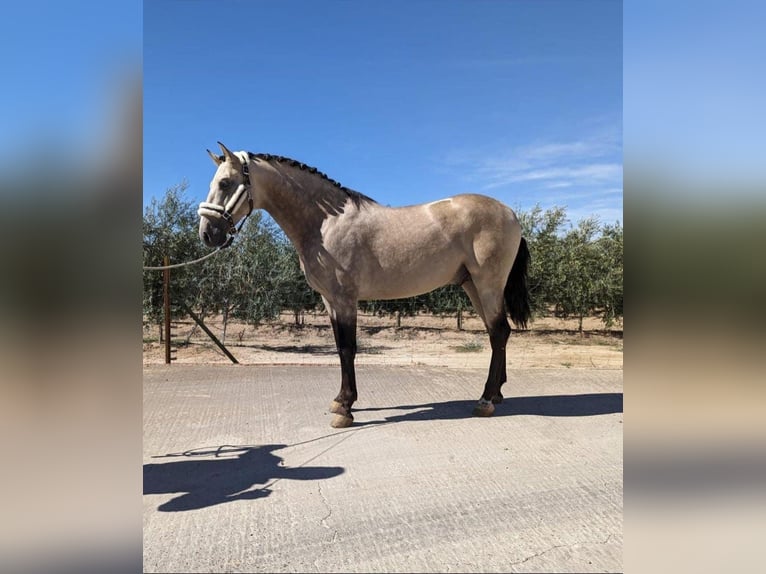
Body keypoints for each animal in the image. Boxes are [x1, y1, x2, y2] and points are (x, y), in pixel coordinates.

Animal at [201, 141, 532, 428]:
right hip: (472, 286)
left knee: (499, 332)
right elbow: (339, 347)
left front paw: (345, 409)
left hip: (488, 284)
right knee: (497, 333)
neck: (324, 223)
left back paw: (485, 400)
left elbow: (348, 348)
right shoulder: (330, 301)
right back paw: (497, 394)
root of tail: (510, 214)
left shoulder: (345, 299)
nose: (207, 233)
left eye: (226, 183)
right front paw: (340, 400)